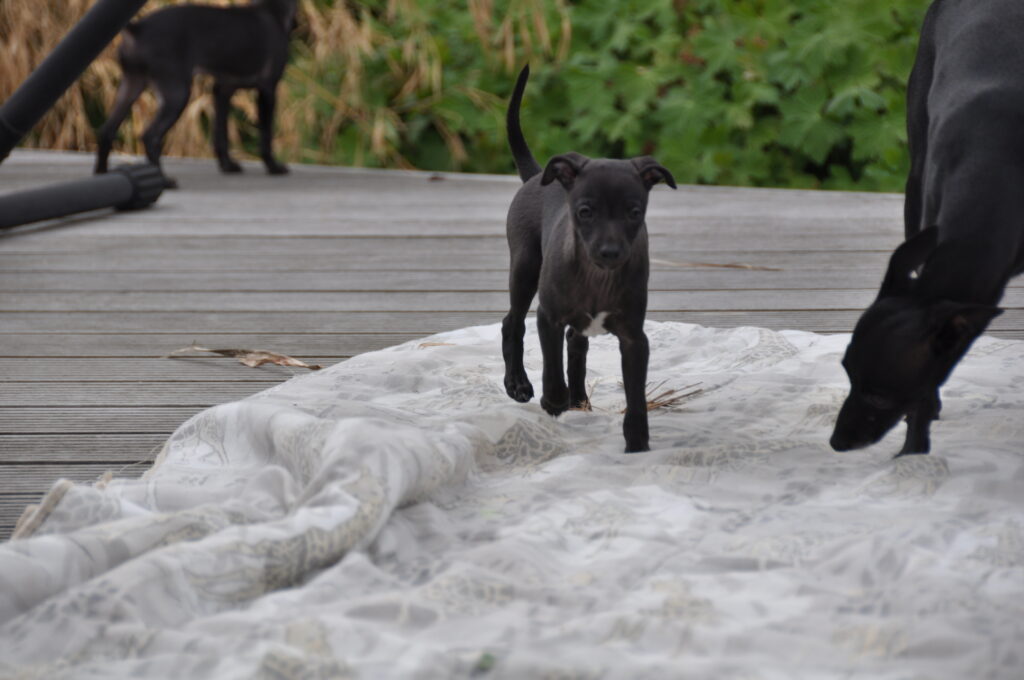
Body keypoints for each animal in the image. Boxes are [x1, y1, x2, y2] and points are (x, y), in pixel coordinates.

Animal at [94, 0, 297, 187]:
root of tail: (137, 29)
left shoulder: (223, 90)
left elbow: (220, 132)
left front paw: (227, 165)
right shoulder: (267, 89)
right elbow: (266, 134)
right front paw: (273, 167)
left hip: (131, 85)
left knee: (107, 130)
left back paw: (102, 175)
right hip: (176, 94)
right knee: (150, 136)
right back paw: (163, 181)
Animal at [501, 65, 676, 453]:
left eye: (634, 212)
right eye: (585, 212)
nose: (610, 252)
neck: (597, 277)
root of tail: (538, 174)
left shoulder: (634, 338)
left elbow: (636, 396)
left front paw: (637, 444)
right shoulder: (547, 317)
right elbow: (551, 367)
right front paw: (553, 400)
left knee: (576, 343)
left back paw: (579, 399)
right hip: (524, 268)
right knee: (512, 323)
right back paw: (519, 384)